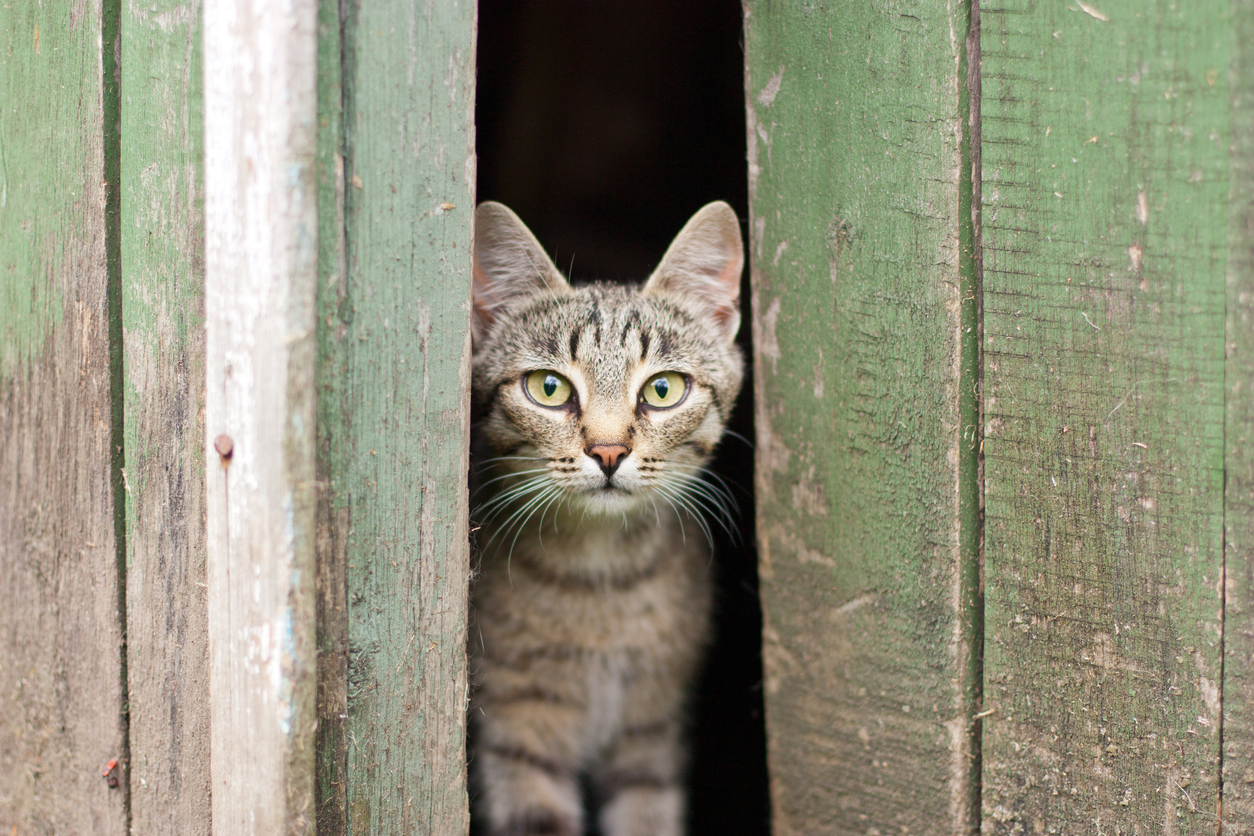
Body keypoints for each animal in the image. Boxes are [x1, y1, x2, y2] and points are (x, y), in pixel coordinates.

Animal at [468, 198, 742, 836]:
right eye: (548, 388)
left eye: (664, 389)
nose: (610, 451)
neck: (602, 578)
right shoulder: (515, 728)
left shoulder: (651, 727)